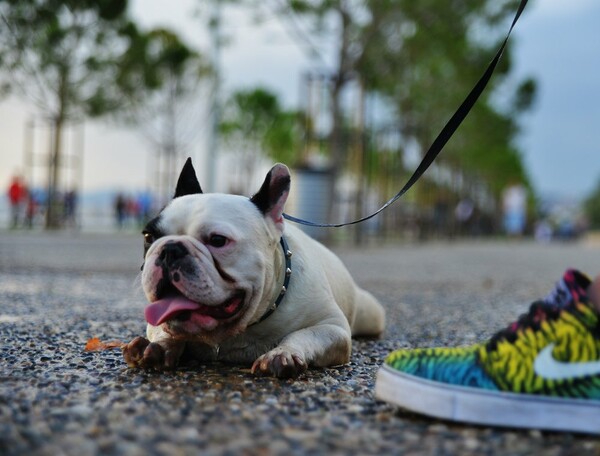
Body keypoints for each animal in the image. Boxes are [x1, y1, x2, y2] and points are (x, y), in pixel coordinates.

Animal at [123, 159, 384, 378]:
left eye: (218, 240)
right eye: (148, 236)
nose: (170, 250)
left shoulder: (332, 328)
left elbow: (302, 334)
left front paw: (283, 353)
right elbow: (164, 330)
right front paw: (158, 346)